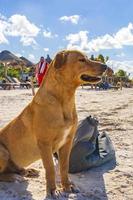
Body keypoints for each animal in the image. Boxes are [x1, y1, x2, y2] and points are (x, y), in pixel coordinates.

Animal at [0, 50, 107, 198]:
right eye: (81, 60)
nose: (106, 66)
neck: (64, 100)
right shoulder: (45, 144)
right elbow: (50, 168)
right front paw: (52, 189)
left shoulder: (67, 142)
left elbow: (64, 167)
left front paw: (67, 186)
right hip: (3, 151)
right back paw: (14, 177)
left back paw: (26, 171)